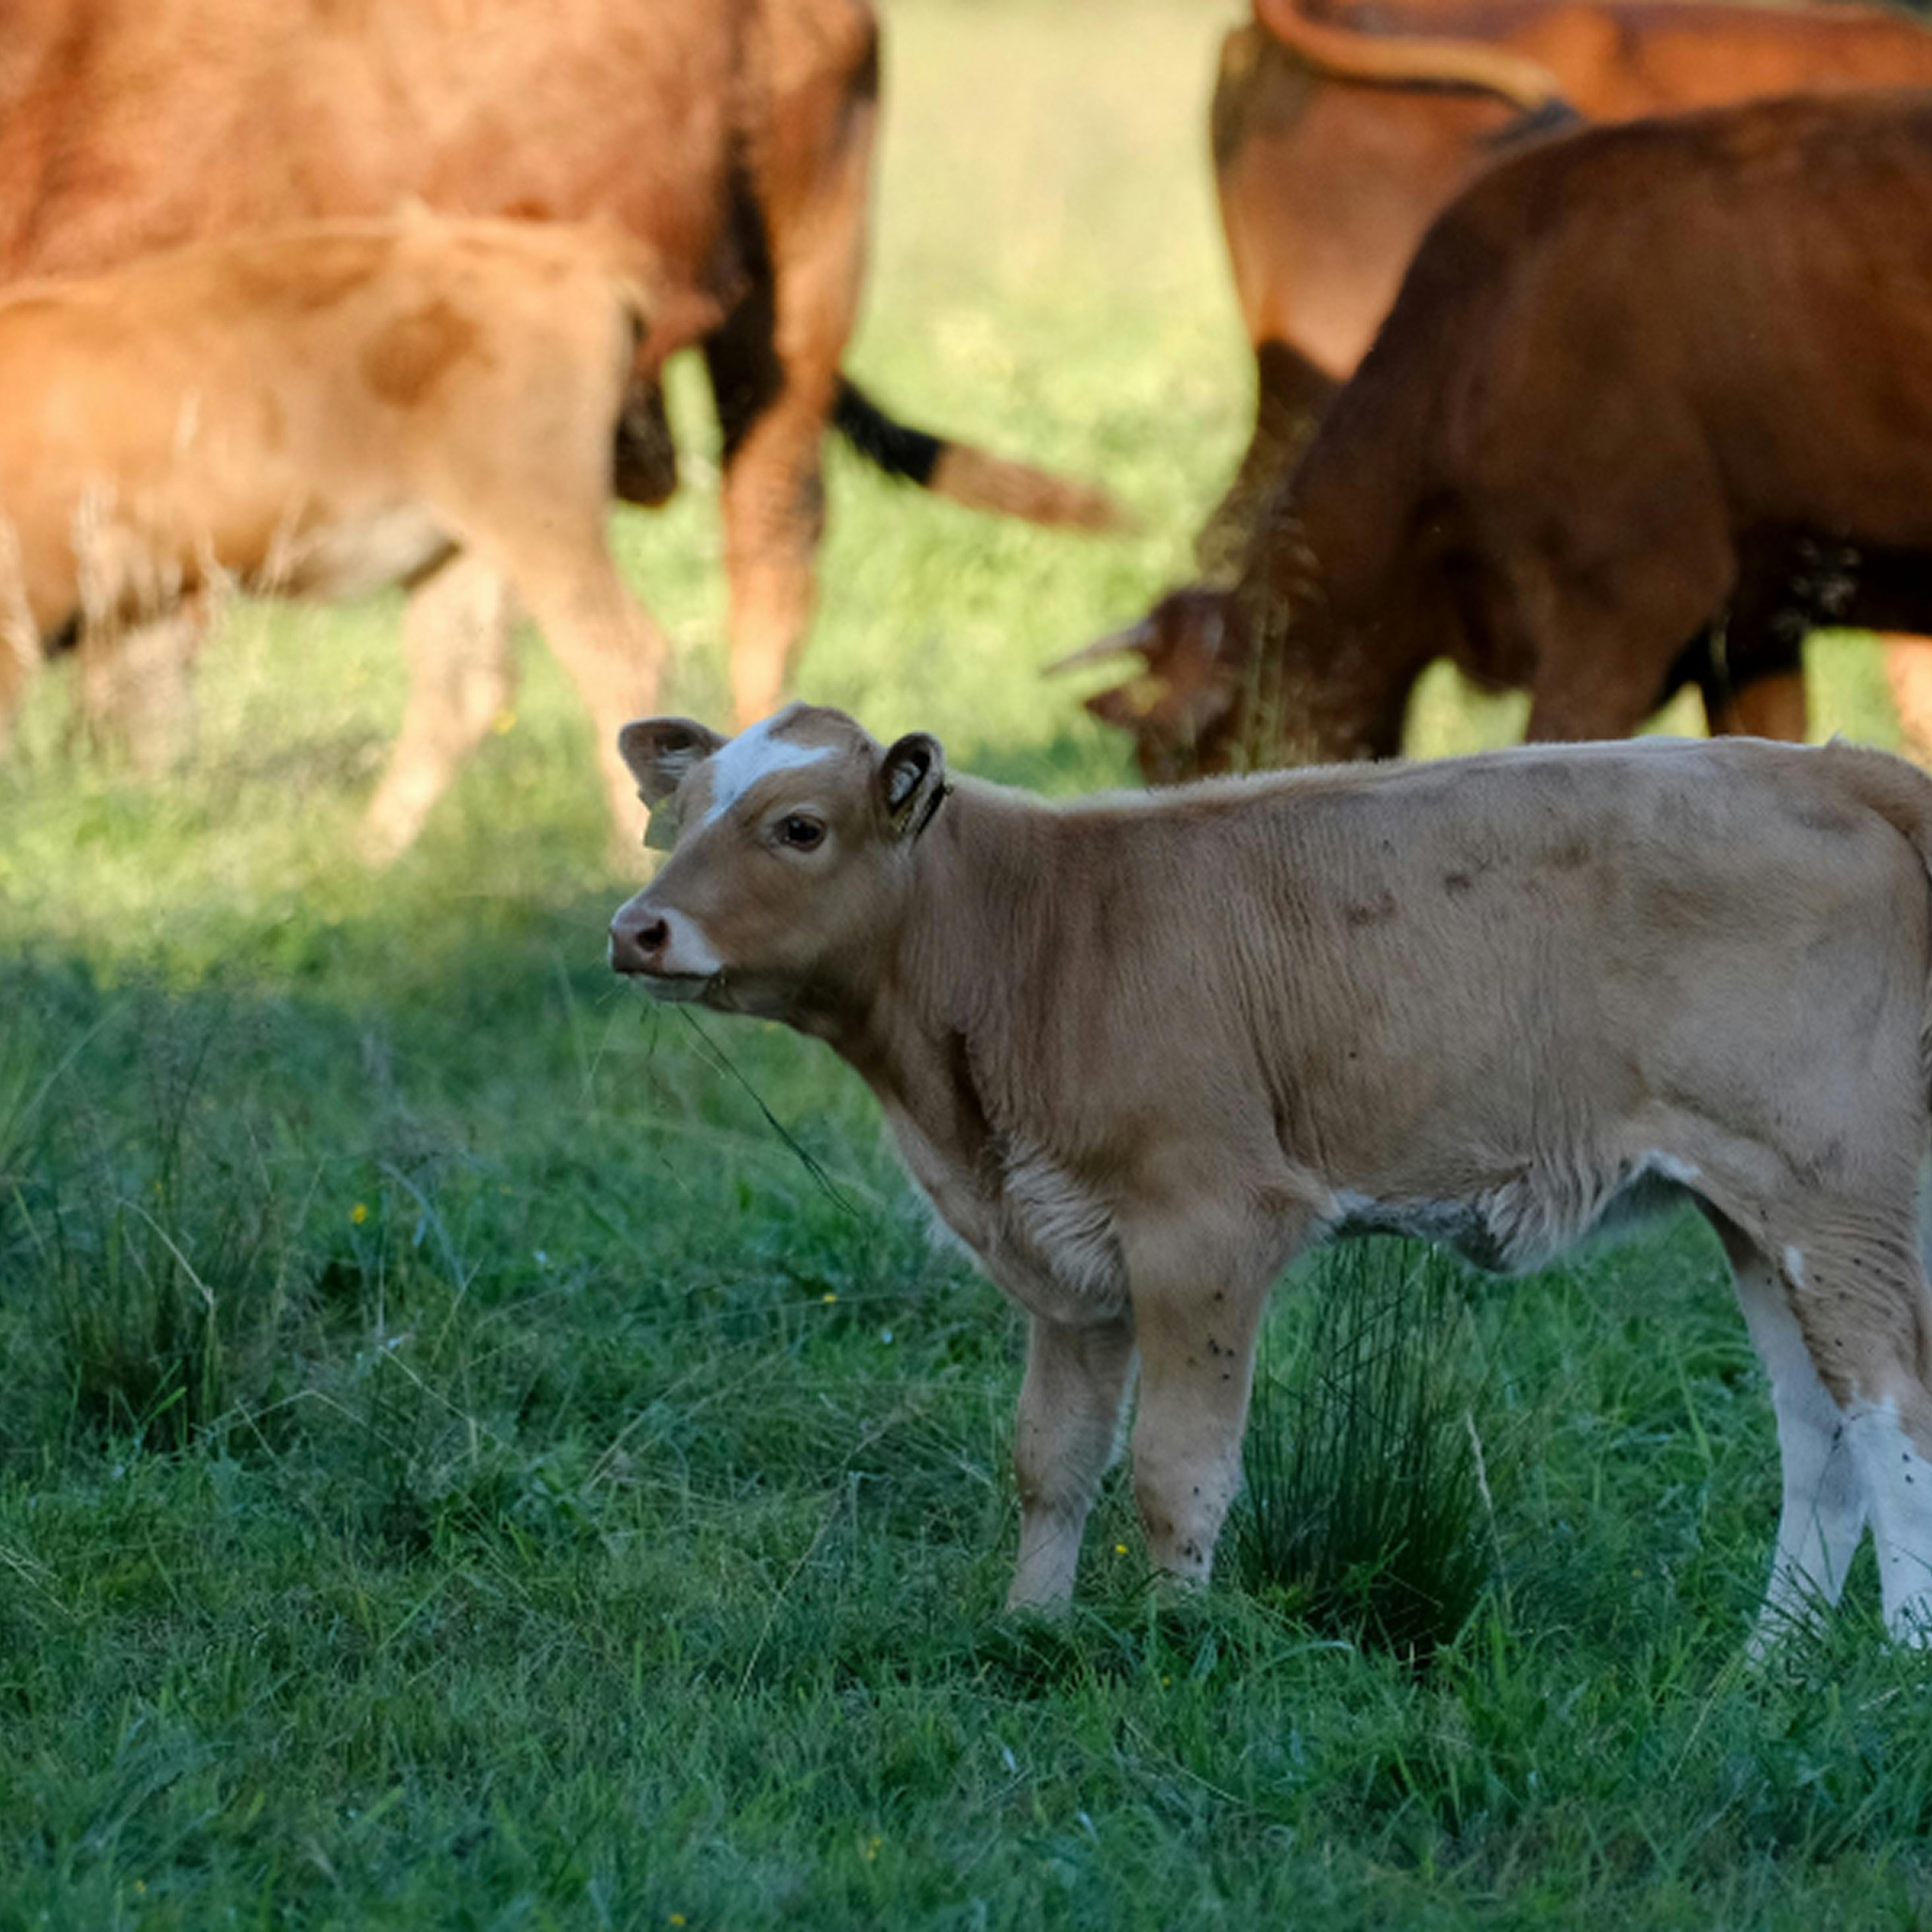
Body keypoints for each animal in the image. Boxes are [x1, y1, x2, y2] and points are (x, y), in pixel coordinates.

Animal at [0, 214, 714, 860]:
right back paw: (369, 853)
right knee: (462, 686)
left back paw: (628, 859)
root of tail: (573, 253)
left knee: (615, 655)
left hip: (536, 521)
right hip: (462, 549)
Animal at [608, 701, 1932, 1645]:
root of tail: (1831, 766)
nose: (635, 928)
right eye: (679, 819)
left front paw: (1172, 1646)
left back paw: (1892, 1666)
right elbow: (1052, 1462)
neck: (1036, 936)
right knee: (1819, 1437)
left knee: (1893, 1412)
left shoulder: (1206, 1225)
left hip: (1835, 1197)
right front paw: (1029, 1631)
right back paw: (1763, 1671)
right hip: (1755, 1210)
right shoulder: (1063, 1260)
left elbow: (1174, 1472)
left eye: (799, 827)